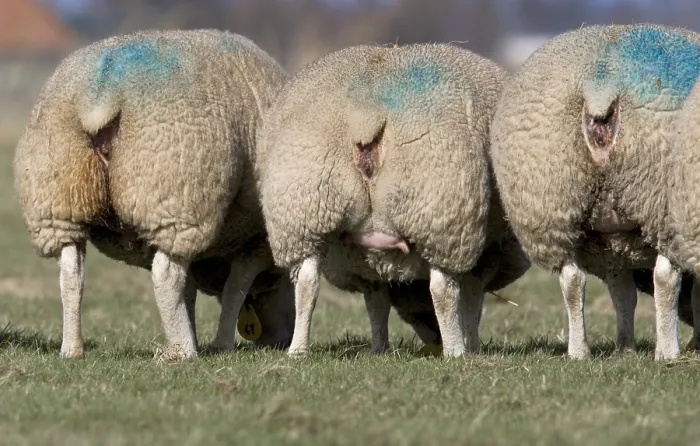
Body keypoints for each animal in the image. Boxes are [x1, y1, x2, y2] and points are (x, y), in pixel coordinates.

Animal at [13, 29, 292, 360]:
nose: (281, 340)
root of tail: (102, 89)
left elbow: (191, 291)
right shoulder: (258, 241)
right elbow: (235, 287)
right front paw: (218, 343)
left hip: (59, 195)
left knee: (71, 272)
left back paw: (73, 349)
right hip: (175, 196)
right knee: (165, 274)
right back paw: (185, 352)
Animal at [258, 42, 523, 357]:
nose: (434, 339)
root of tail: (365, 112)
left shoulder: (366, 264)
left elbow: (377, 303)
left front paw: (379, 348)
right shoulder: (485, 257)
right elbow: (470, 300)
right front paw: (471, 344)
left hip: (304, 207)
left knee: (307, 282)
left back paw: (298, 350)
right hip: (440, 210)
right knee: (443, 289)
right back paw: (455, 351)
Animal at [489, 23, 700, 360]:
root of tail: (601, 83)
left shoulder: (612, 241)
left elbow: (622, 292)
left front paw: (625, 348)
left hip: (552, 204)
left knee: (572, 279)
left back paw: (579, 351)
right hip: (662, 207)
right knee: (665, 277)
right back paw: (668, 351)